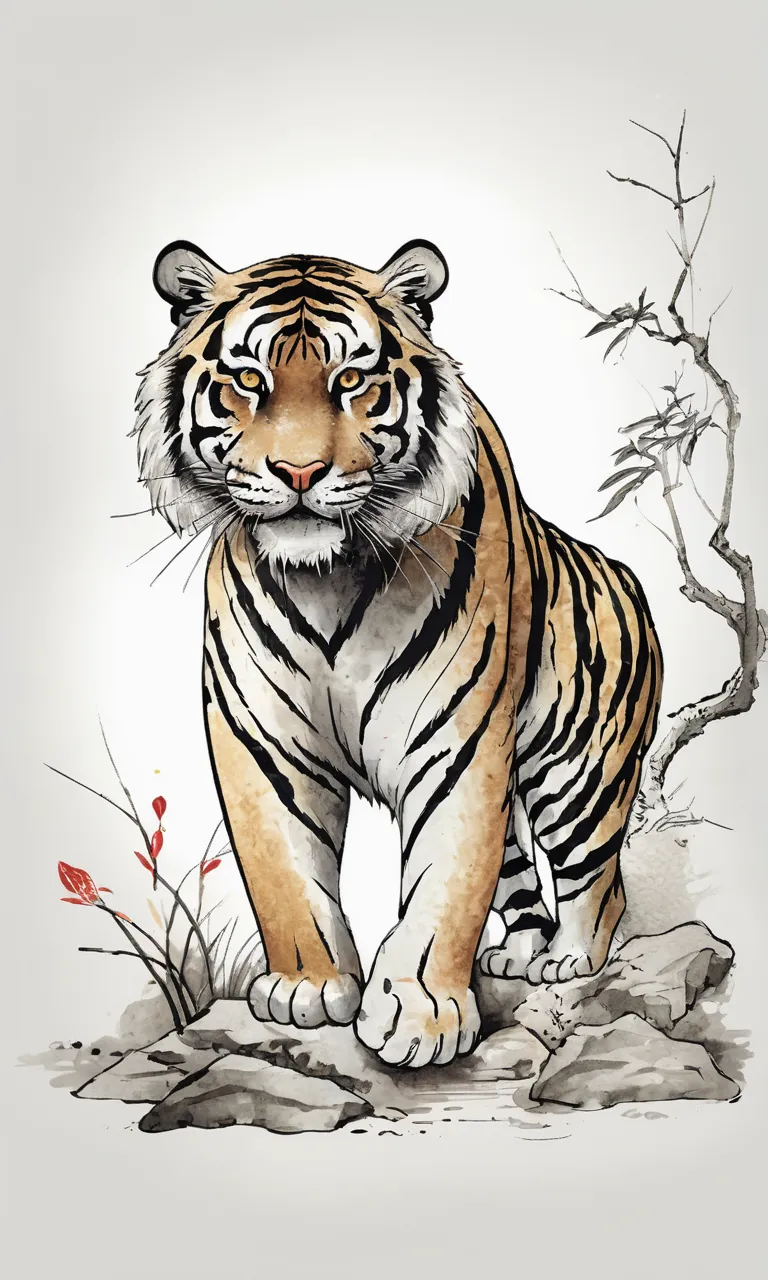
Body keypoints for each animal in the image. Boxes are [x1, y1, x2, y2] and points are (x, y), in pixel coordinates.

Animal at [134, 237, 662, 1069]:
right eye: (249, 380)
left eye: (352, 380)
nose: (299, 473)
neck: (326, 578)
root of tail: (633, 582)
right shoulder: (261, 742)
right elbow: (286, 876)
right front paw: (308, 987)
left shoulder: (458, 741)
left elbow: (445, 888)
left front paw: (420, 1016)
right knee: (520, 876)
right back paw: (517, 953)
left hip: (581, 774)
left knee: (599, 885)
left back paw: (568, 959)